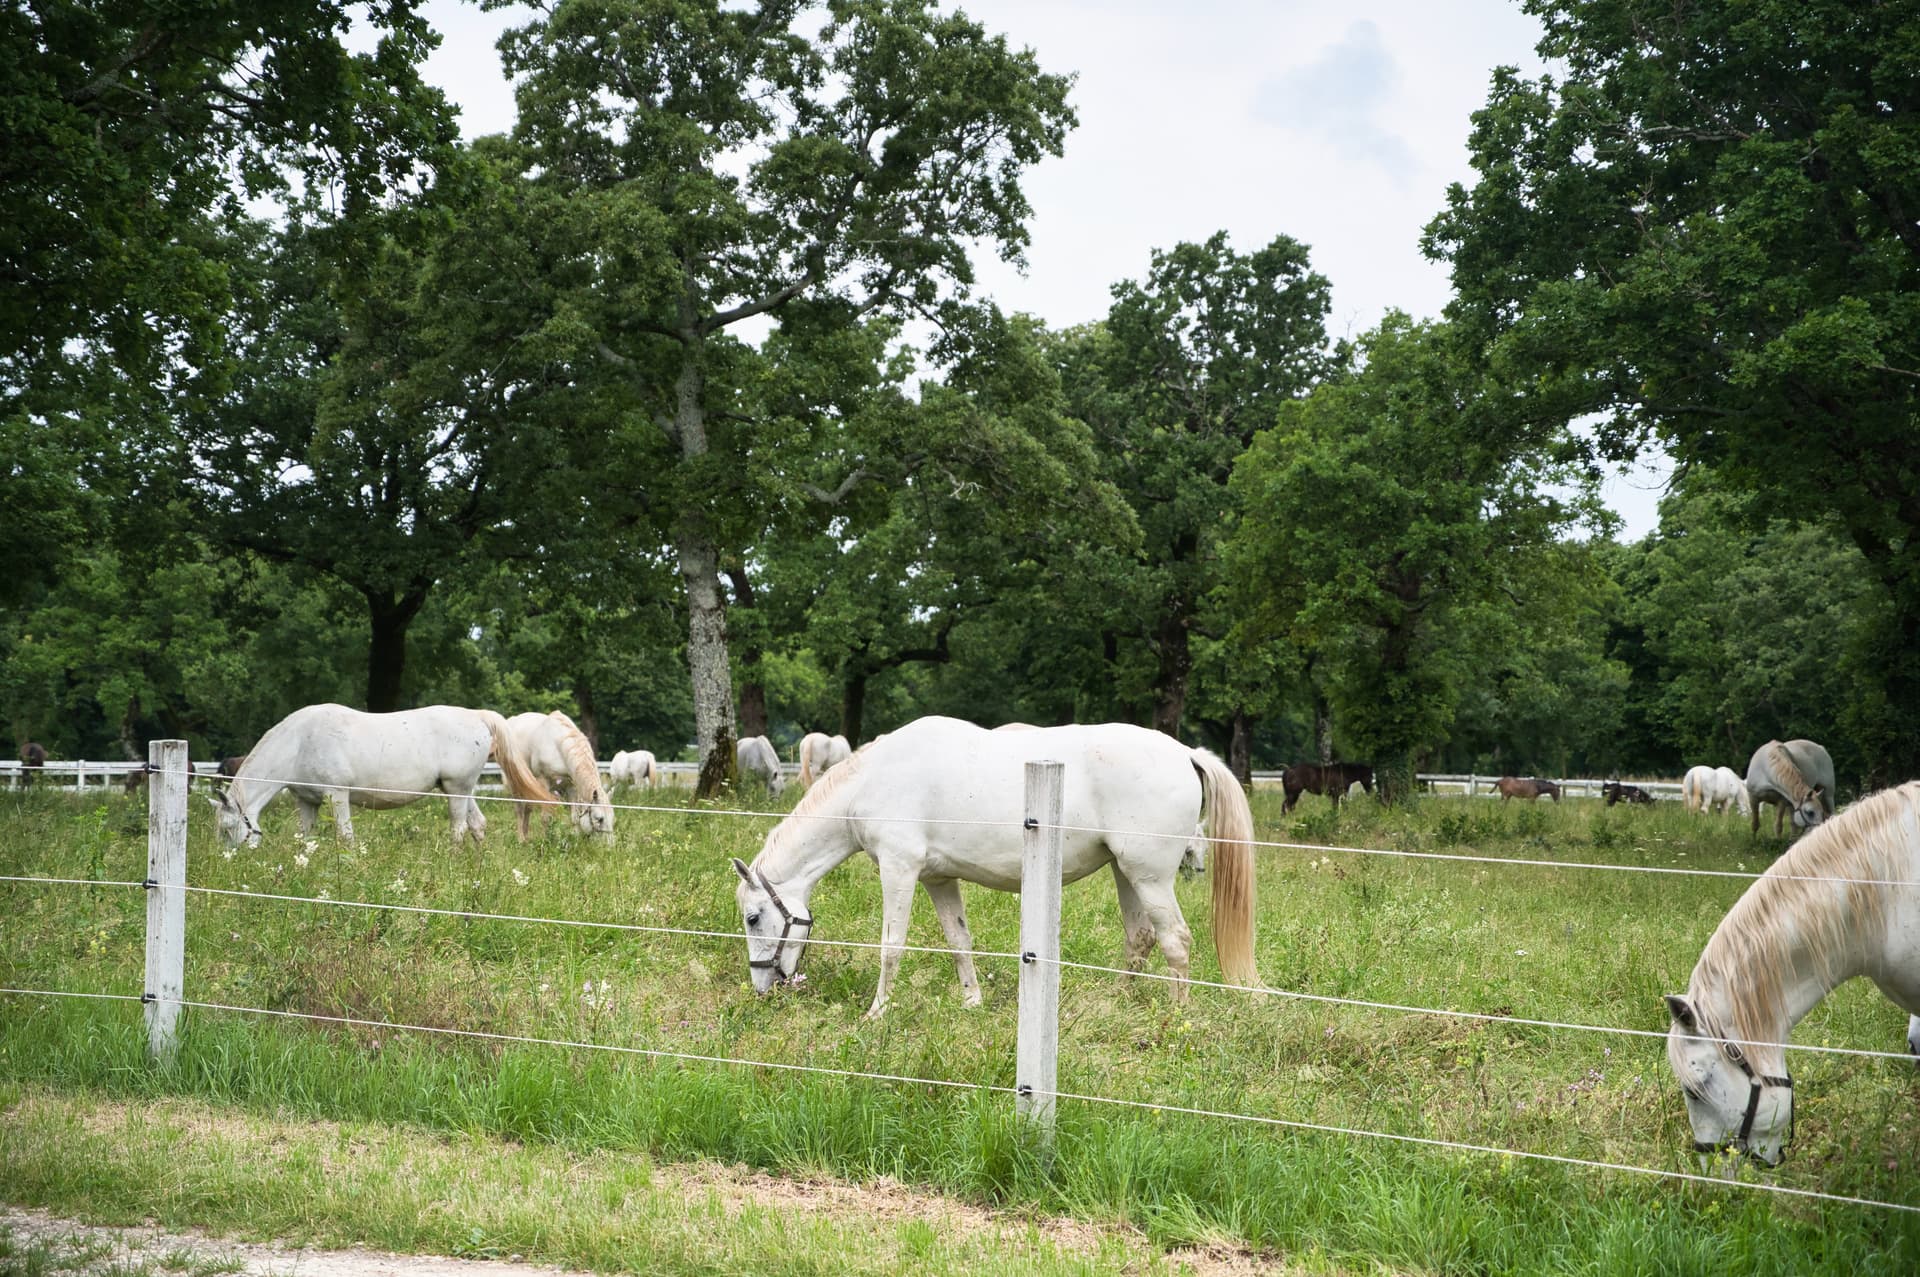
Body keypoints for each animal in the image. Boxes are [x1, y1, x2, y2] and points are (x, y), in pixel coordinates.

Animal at [208, 704, 552, 847]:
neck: (299, 743)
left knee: (459, 828)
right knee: (477, 824)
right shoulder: (307, 802)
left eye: (227, 828)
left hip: (457, 789)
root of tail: (477, 716)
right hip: (460, 789)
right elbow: (305, 837)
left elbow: (345, 836)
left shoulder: (337, 796)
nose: (231, 862)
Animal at [505, 710, 614, 840]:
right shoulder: (543, 782)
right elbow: (545, 817)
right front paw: (545, 840)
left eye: (612, 818)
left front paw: (576, 839)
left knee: (528, 807)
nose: (608, 844)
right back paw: (521, 839)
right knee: (519, 809)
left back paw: (526, 838)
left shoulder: (571, 787)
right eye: (599, 819)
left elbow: (575, 818)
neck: (558, 745)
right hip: (514, 782)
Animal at [732, 715, 1259, 1019]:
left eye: (753, 917)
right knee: (1140, 938)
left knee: (1175, 940)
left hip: (1149, 877)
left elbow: (891, 946)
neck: (874, 779)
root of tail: (1186, 753)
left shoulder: (899, 871)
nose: (762, 988)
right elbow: (958, 941)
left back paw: (1177, 1018)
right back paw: (1120, 1003)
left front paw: (877, 1013)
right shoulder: (938, 879)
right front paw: (971, 1002)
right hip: (1125, 872)